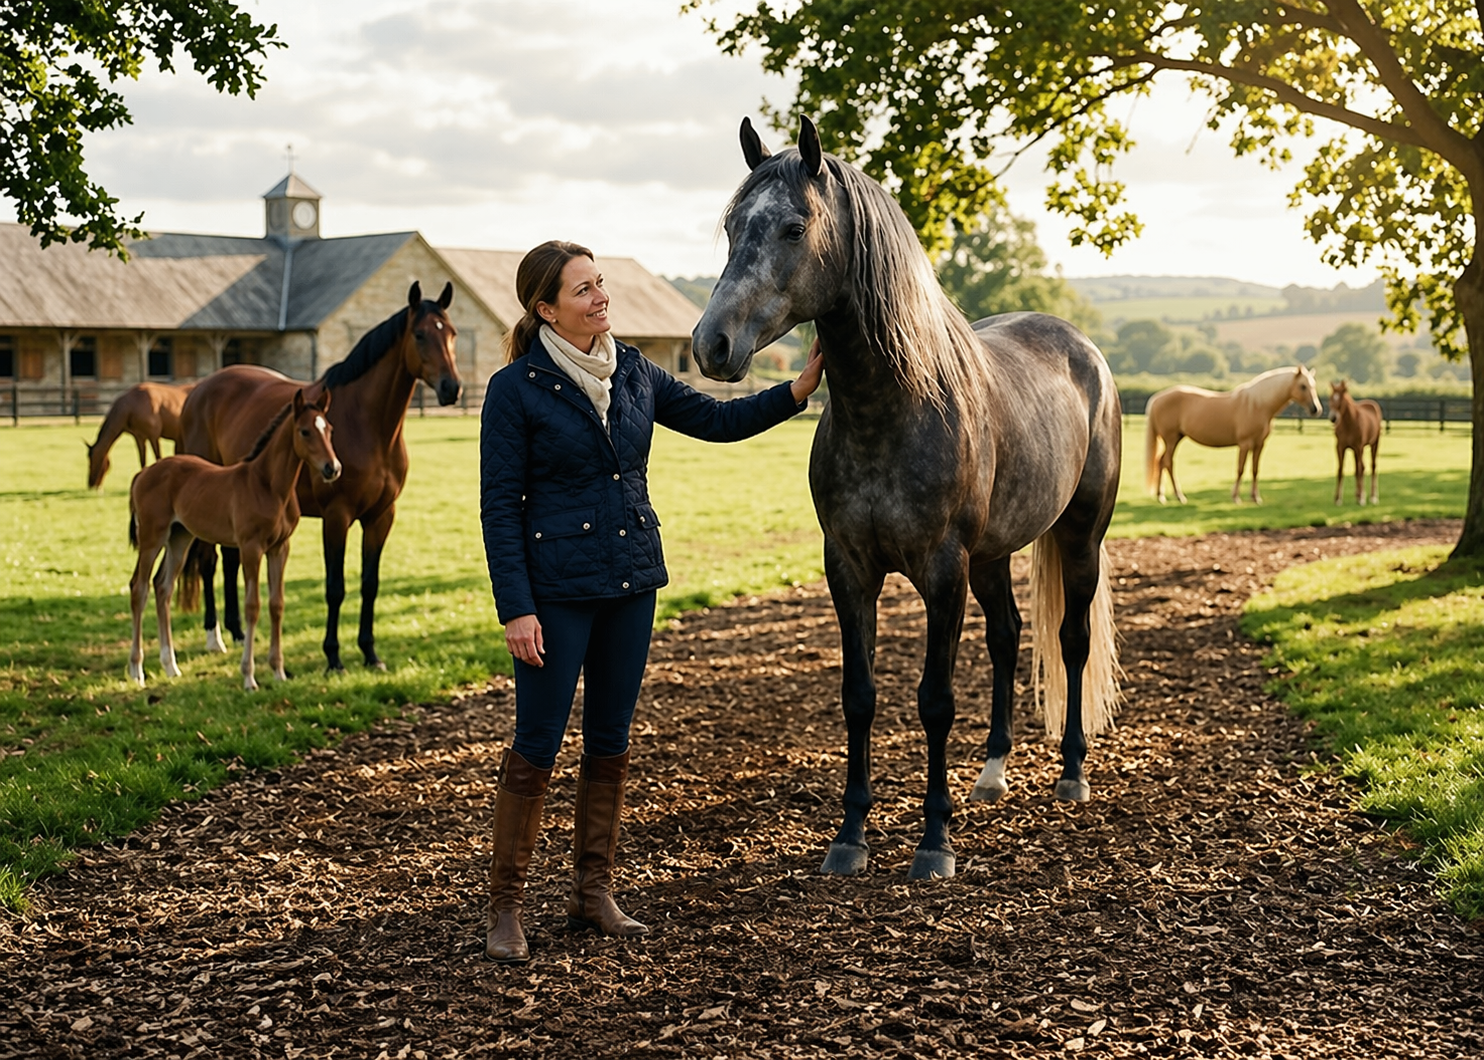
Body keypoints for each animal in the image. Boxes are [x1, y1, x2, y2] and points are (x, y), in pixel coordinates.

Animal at [128, 389, 340, 690]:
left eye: (329, 429)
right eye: (305, 431)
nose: (332, 468)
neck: (269, 486)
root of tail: (142, 473)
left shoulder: (280, 548)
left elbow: (277, 604)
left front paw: (278, 671)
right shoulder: (250, 548)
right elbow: (253, 606)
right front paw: (249, 677)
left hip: (180, 538)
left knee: (162, 588)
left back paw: (171, 667)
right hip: (151, 537)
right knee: (139, 588)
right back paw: (137, 670)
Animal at [178, 281, 461, 670]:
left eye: (452, 333)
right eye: (419, 334)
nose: (452, 388)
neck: (367, 423)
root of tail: (198, 391)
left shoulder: (381, 516)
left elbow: (370, 584)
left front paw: (370, 653)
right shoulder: (336, 516)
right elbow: (335, 587)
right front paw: (334, 657)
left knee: (231, 560)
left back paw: (237, 633)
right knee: (209, 563)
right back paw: (214, 637)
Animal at [694, 117, 1123, 880]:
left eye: (795, 228)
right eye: (732, 226)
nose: (711, 345)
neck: (890, 408)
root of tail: (1084, 349)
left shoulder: (941, 573)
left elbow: (934, 702)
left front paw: (934, 842)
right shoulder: (849, 571)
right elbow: (859, 698)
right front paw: (850, 836)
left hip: (1080, 537)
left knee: (1070, 641)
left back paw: (1072, 772)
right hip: (994, 555)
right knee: (1009, 636)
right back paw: (992, 774)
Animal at [1144, 366, 1323, 505]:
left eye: (1313, 385)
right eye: (1303, 386)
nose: (1316, 409)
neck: (1257, 405)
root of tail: (1157, 398)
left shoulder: (1259, 444)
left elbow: (1255, 470)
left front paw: (1255, 498)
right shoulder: (1245, 444)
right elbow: (1240, 469)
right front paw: (1236, 497)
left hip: (1175, 438)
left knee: (1162, 462)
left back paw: (1163, 496)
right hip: (1171, 438)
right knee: (1167, 462)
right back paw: (1176, 497)